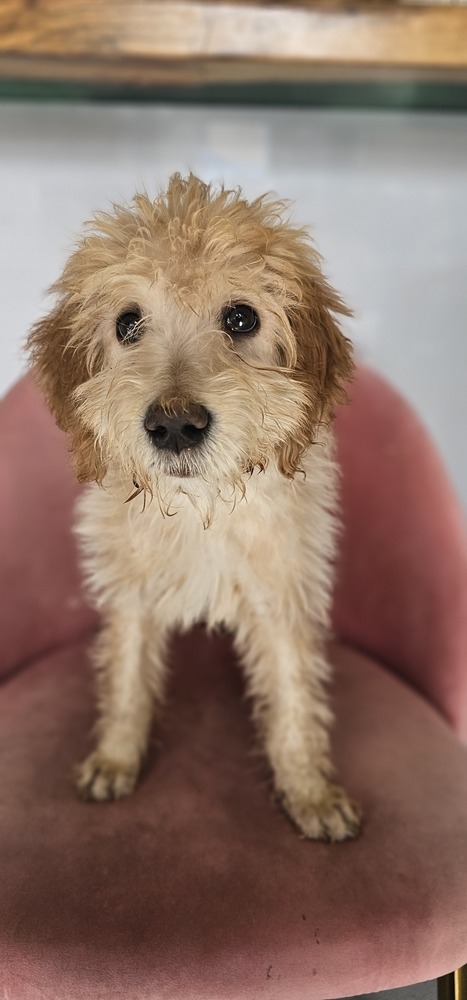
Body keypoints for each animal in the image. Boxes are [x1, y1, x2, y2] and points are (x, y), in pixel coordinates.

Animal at [27, 174, 360, 844]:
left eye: (241, 317)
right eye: (128, 323)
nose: (174, 425)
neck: (200, 507)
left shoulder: (283, 594)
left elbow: (294, 693)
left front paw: (309, 790)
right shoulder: (128, 590)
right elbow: (127, 676)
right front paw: (116, 757)